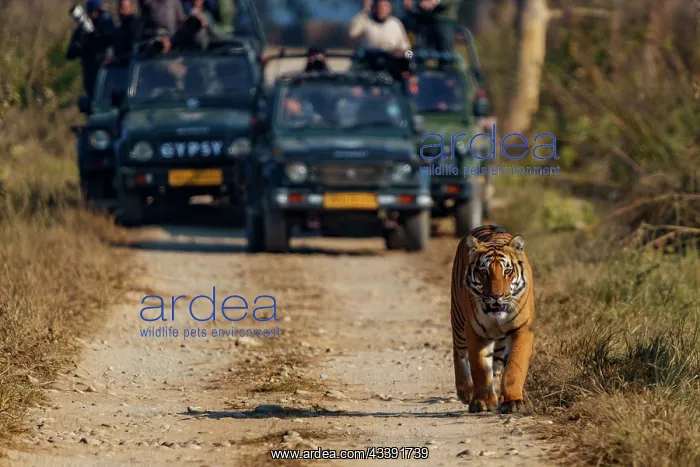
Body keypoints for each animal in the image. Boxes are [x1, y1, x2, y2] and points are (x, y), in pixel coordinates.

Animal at [450, 224, 535, 414]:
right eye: (483, 272)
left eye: (507, 271)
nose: (497, 296)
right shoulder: (474, 331)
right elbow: (480, 367)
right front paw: (481, 402)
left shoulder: (521, 328)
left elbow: (514, 365)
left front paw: (512, 401)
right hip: (458, 321)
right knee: (458, 352)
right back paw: (465, 391)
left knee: (496, 364)